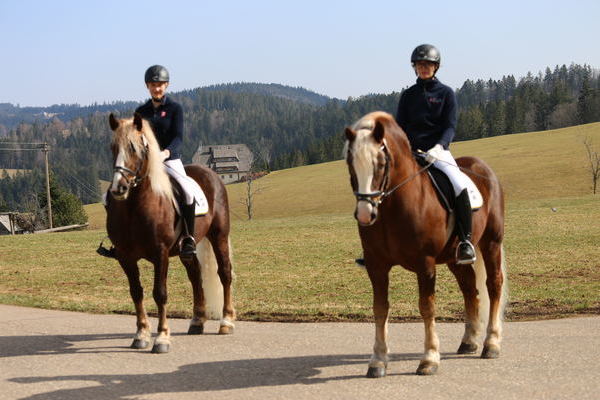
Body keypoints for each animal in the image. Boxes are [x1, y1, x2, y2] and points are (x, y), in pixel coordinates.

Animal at [104, 113, 236, 354]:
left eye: (135, 148)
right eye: (113, 147)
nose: (119, 188)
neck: (134, 207)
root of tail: (211, 174)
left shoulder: (161, 253)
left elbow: (160, 293)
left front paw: (162, 337)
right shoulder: (125, 257)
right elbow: (136, 292)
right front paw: (141, 334)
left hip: (219, 236)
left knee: (225, 273)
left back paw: (226, 322)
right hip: (187, 249)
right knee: (195, 275)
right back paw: (197, 321)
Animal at [342, 111, 506, 378]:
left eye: (380, 164)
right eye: (350, 164)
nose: (366, 214)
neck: (392, 207)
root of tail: (483, 168)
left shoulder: (425, 265)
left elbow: (427, 307)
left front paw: (429, 358)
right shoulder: (377, 267)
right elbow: (380, 308)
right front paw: (378, 360)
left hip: (491, 243)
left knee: (493, 285)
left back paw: (491, 343)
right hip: (455, 258)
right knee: (470, 289)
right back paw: (469, 341)